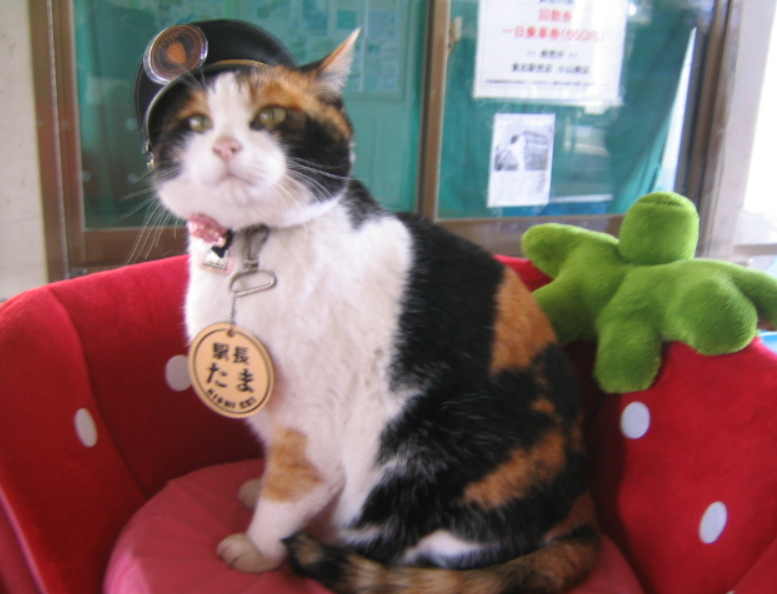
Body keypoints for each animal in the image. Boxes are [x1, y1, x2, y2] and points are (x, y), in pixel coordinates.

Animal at [149, 26, 596, 592]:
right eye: (196, 124)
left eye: (270, 116)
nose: (225, 145)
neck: (252, 246)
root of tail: (582, 518)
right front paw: (257, 486)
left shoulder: (313, 427)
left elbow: (290, 492)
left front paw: (256, 546)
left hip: (439, 459)